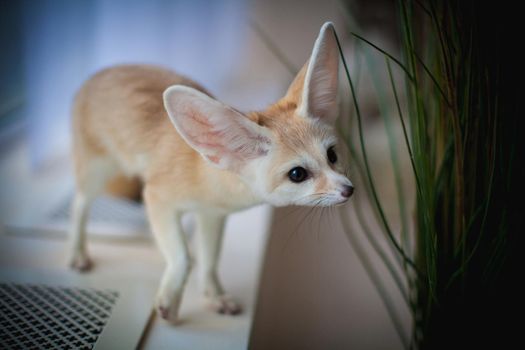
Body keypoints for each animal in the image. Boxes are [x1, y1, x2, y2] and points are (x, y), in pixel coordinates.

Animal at [66, 21, 352, 322]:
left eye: (332, 155)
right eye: (298, 174)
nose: (349, 189)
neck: (205, 174)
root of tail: (99, 73)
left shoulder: (212, 216)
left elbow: (210, 260)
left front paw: (214, 295)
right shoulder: (157, 197)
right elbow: (183, 258)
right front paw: (169, 300)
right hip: (97, 173)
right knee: (79, 205)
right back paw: (77, 252)